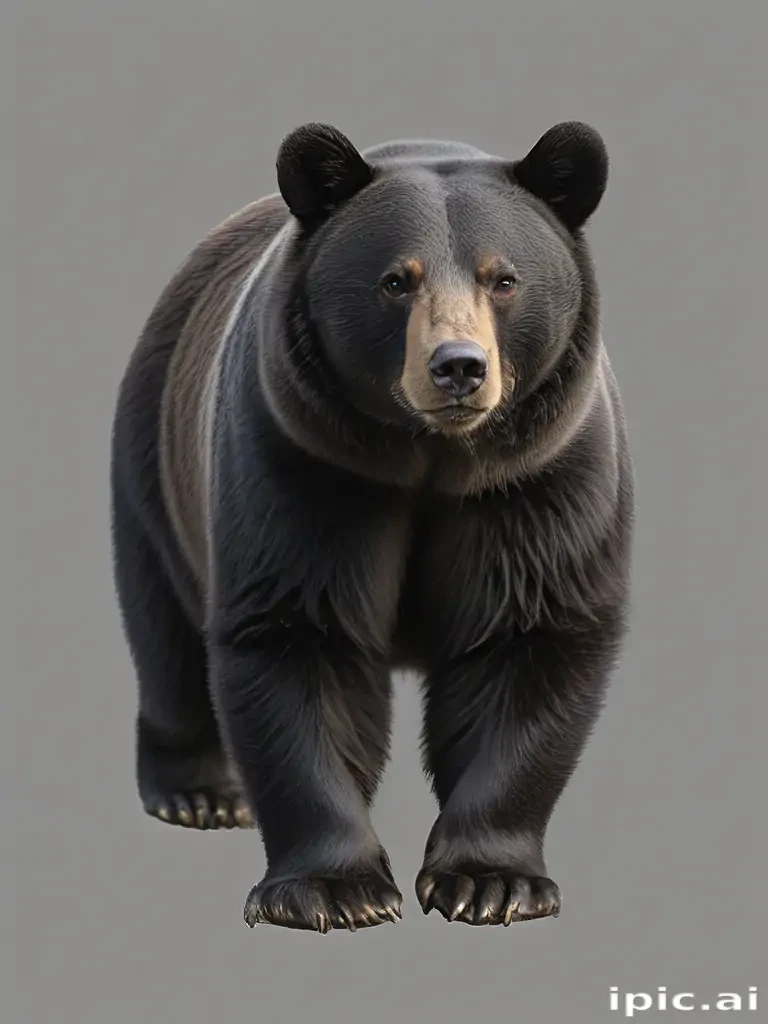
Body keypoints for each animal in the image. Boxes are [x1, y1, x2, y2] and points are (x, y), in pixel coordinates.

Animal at [110, 120, 634, 933]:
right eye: (397, 280)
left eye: (503, 278)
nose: (460, 367)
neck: (432, 460)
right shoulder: (304, 465)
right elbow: (297, 636)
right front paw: (334, 890)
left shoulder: (542, 479)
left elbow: (531, 633)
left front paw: (490, 883)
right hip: (154, 458)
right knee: (164, 631)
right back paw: (198, 792)